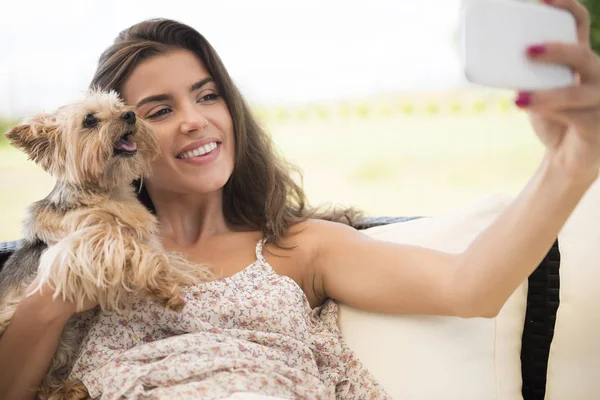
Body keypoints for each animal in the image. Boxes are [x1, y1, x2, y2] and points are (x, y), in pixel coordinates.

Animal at [0, 90, 216, 400]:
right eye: (90, 120)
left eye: (120, 106)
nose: (130, 115)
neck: (107, 192)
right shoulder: (84, 243)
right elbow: (131, 247)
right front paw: (164, 289)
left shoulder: (144, 236)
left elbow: (164, 255)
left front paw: (191, 272)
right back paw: (67, 388)